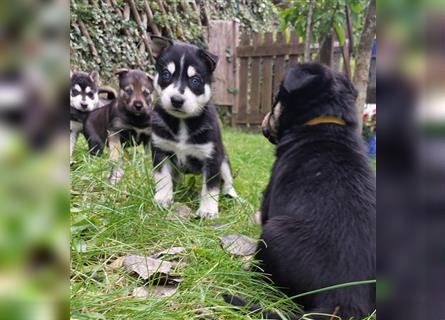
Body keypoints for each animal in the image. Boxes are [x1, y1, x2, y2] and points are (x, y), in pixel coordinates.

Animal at [148, 36, 238, 219]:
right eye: (166, 74)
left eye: (195, 80)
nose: (176, 100)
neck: (182, 122)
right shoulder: (160, 151)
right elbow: (162, 177)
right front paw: (163, 198)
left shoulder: (212, 159)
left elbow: (210, 188)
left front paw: (208, 210)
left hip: (224, 159)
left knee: (228, 181)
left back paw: (233, 195)